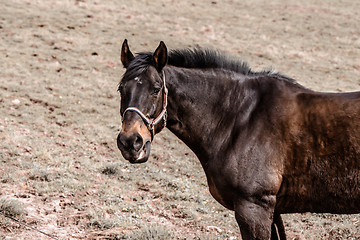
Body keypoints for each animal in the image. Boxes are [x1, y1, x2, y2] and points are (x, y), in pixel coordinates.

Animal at [116, 40, 360, 239]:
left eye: (156, 89)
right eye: (121, 89)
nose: (131, 142)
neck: (239, 118)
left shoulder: (254, 208)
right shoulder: (271, 211)